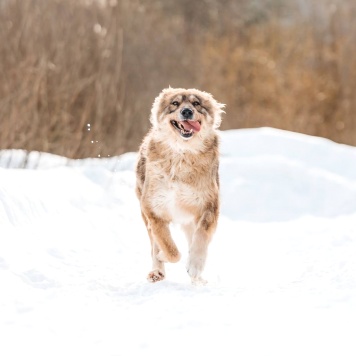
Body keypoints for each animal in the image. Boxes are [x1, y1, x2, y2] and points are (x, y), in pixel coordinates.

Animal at [136, 87, 225, 286]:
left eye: (196, 103)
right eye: (175, 103)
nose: (186, 112)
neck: (182, 153)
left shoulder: (208, 206)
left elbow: (200, 238)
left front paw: (195, 266)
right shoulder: (154, 210)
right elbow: (169, 249)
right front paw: (163, 258)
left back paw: (197, 279)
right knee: (154, 244)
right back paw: (157, 272)